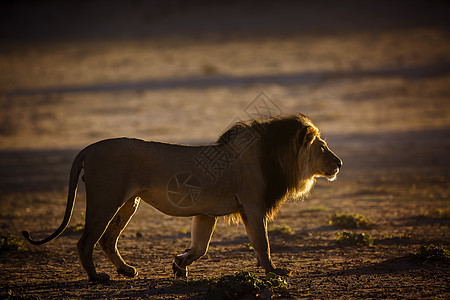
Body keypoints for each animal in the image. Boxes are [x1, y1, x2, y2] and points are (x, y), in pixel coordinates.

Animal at [22, 113, 342, 282]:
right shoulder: (252, 205)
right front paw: (275, 272)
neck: (272, 156)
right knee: (86, 240)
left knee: (107, 239)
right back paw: (96, 277)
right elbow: (262, 244)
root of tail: (89, 148)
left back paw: (126, 270)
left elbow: (200, 247)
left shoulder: (206, 213)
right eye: (323, 147)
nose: (339, 163)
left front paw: (179, 264)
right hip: (106, 199)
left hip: (128, 202)